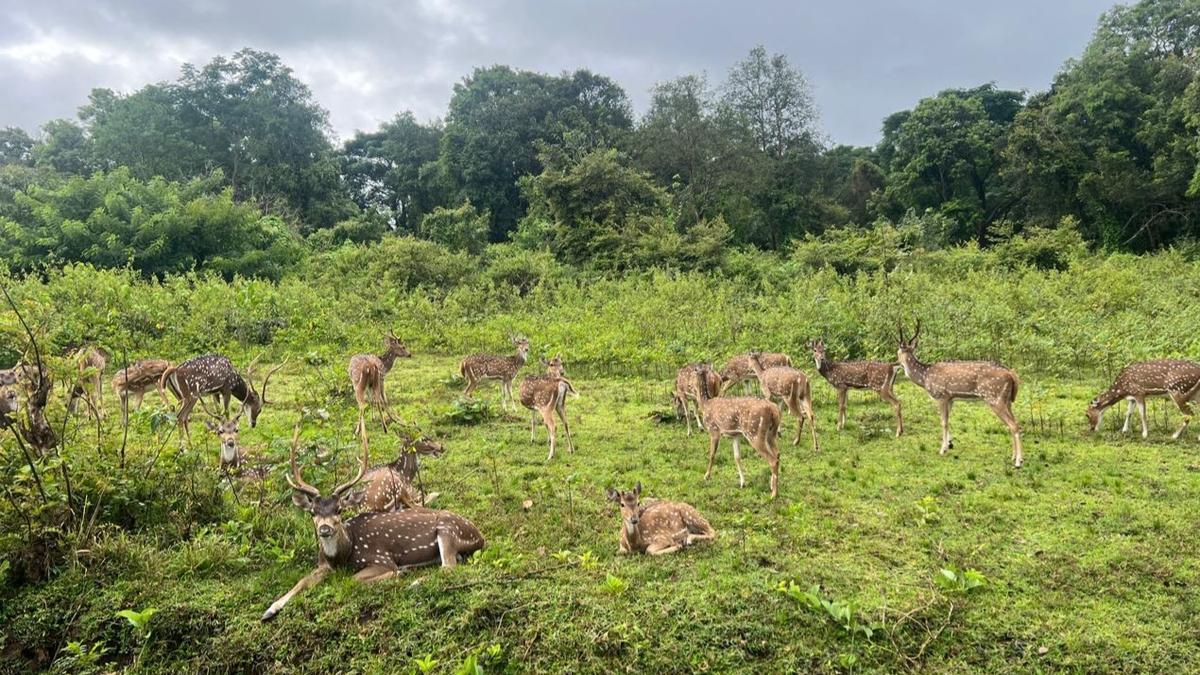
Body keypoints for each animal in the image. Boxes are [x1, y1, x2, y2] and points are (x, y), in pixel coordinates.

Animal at [262, 426, 485, 622]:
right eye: (312, 512)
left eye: (339, 510)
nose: (325, 529)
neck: (345, 553)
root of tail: (480, 536)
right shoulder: (323, 565)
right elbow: (301, 581)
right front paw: (270, 609)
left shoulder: (380, 558)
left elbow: (354, 579)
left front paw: (399, 572)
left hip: (447, 529)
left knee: (448, 567)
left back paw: (413, 581)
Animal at [694, 368, 782, 498]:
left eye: (692, 374)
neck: (705, 404)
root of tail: (773, 410)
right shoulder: (735, 435)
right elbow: (737, 457)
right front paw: (742, 482)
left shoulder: (714, 430)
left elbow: (712, 454)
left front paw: (706, 476)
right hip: (772, 433)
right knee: (777, 454)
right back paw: (772, 486)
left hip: (754, 432)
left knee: (772, 460)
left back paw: (774, 494)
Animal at [896, 321, 1024, 467]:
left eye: (897, 352)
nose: (896, 363)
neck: (925, 377)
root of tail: (1011, 374)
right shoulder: (951, 398)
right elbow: (948, 420)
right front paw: (949, 445)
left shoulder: (941, 395)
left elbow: (943, 422)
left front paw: (942, 450)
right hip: (1007, 400)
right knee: (1013, 423)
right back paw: (1013, 457)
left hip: (995, 398)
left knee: (1014, 425)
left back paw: (1018, 461)